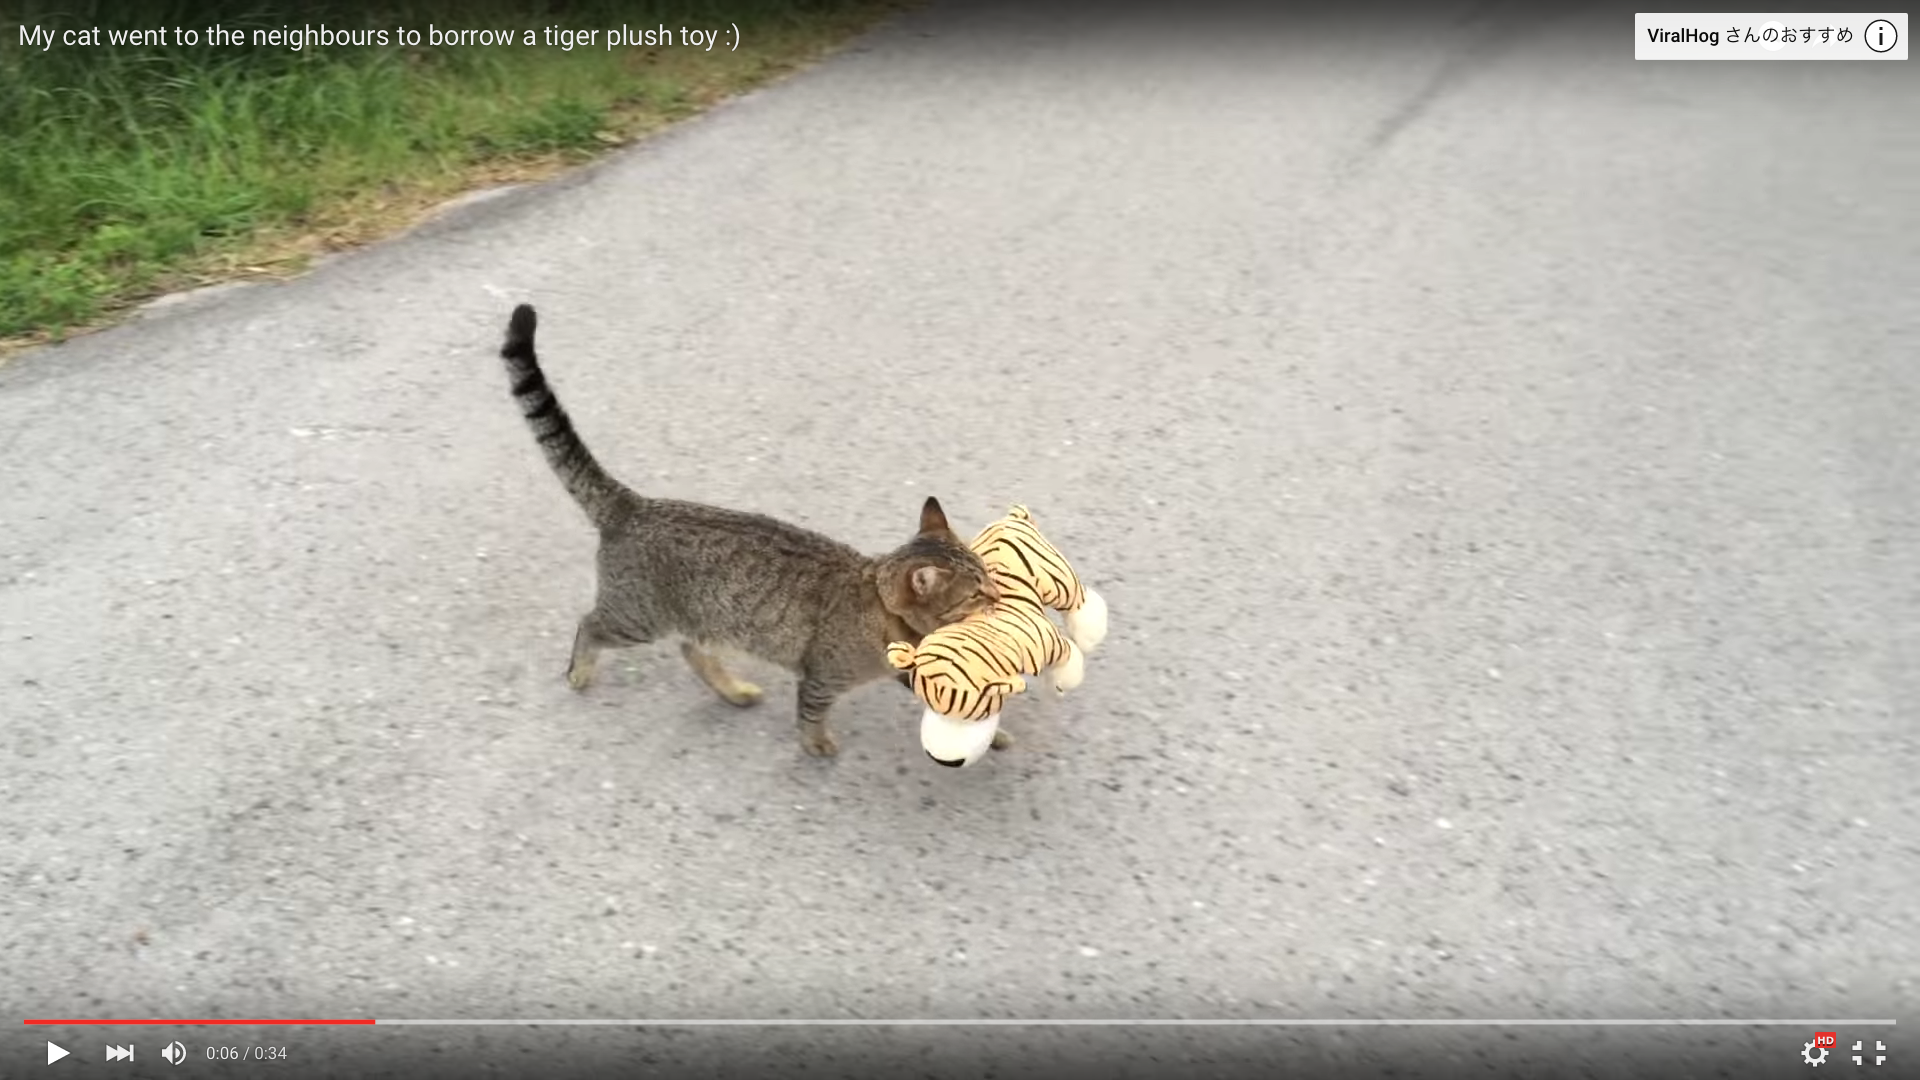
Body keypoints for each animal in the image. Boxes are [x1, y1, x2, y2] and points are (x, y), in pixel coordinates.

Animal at [495, 303, 998, 757]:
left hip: (698, 616)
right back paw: (580, 670)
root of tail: (634, 504)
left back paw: (732, 690)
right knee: (591, 625)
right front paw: (816, 745)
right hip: (636, 617)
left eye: (987, 577)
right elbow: (812, 713)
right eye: (975, 591)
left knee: (692, 650)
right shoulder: (821, 676)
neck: (881, 605)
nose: (998, 596)